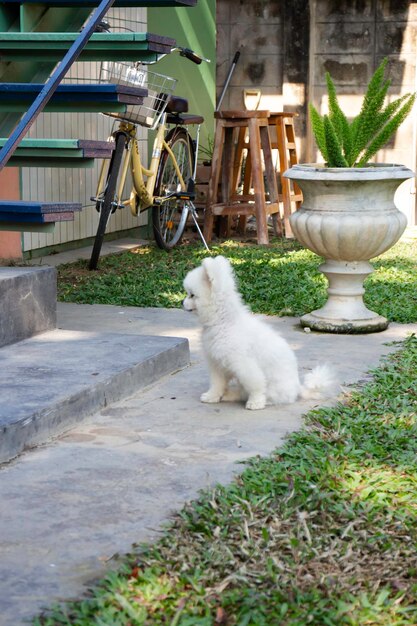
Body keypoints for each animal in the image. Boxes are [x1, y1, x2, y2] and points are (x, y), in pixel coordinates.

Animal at [182, 254, 334, 410]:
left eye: (192, 295)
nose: (182, 303)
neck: (224, 322)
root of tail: (298, 388)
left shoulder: (243, 364)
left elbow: (256, 384)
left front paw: (256, 402)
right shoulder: (217, 363)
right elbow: (217, 383)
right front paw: (212, 396)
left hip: (274, 387)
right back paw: (230, 395)